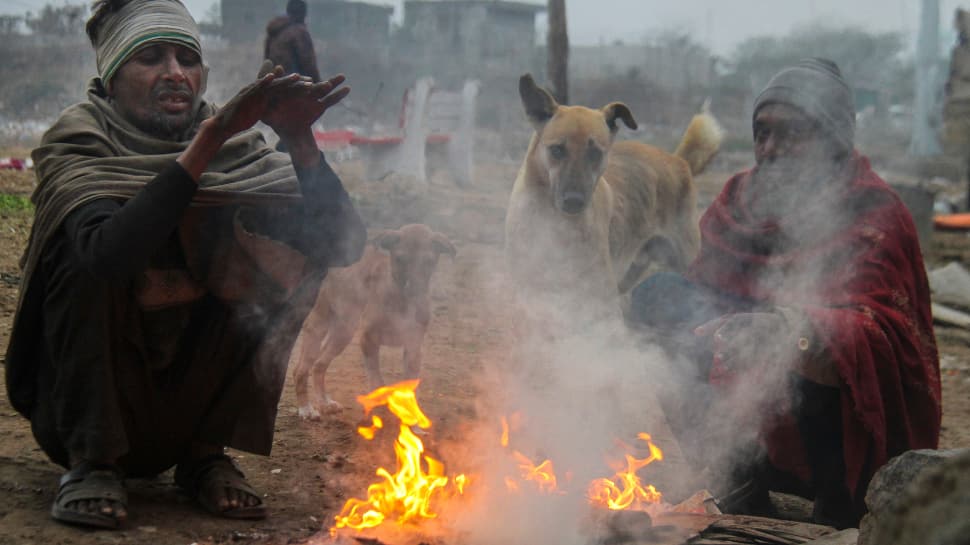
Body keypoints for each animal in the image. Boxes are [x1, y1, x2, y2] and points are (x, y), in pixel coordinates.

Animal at [294, 223, 456, 418]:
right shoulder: (368, 340)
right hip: (322, 325)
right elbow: (377, 381)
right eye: (400, 259)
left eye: (429, 262)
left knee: (318, 365)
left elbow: (410, 387)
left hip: (343, 329)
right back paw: (306, 408)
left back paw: (324, 402)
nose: (413, 291)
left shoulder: (414, 347)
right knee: (301, 370)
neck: (400, 301)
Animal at [506, 73, 720, 318]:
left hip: (687, 260)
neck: (555, 223)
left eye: (595, 152)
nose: (574, 201)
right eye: (557, 149)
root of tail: (679, 160)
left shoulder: (599, 297)